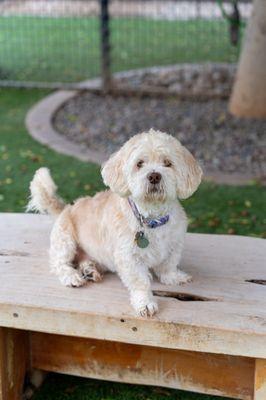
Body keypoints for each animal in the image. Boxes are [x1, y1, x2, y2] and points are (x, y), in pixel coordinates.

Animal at [27, 130, 202, 318]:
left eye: (168, 163)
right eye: (139, 164)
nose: (154, 176)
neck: (151, 219)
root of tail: (66, 208)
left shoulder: (175, 244)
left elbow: (169, 264)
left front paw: (174, 277)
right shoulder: (128, 257)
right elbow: (140, 282)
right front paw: (145, 303)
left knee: (83, 259)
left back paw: (89, 270)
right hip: (65, 241)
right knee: (59, 263)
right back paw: (72, 276)